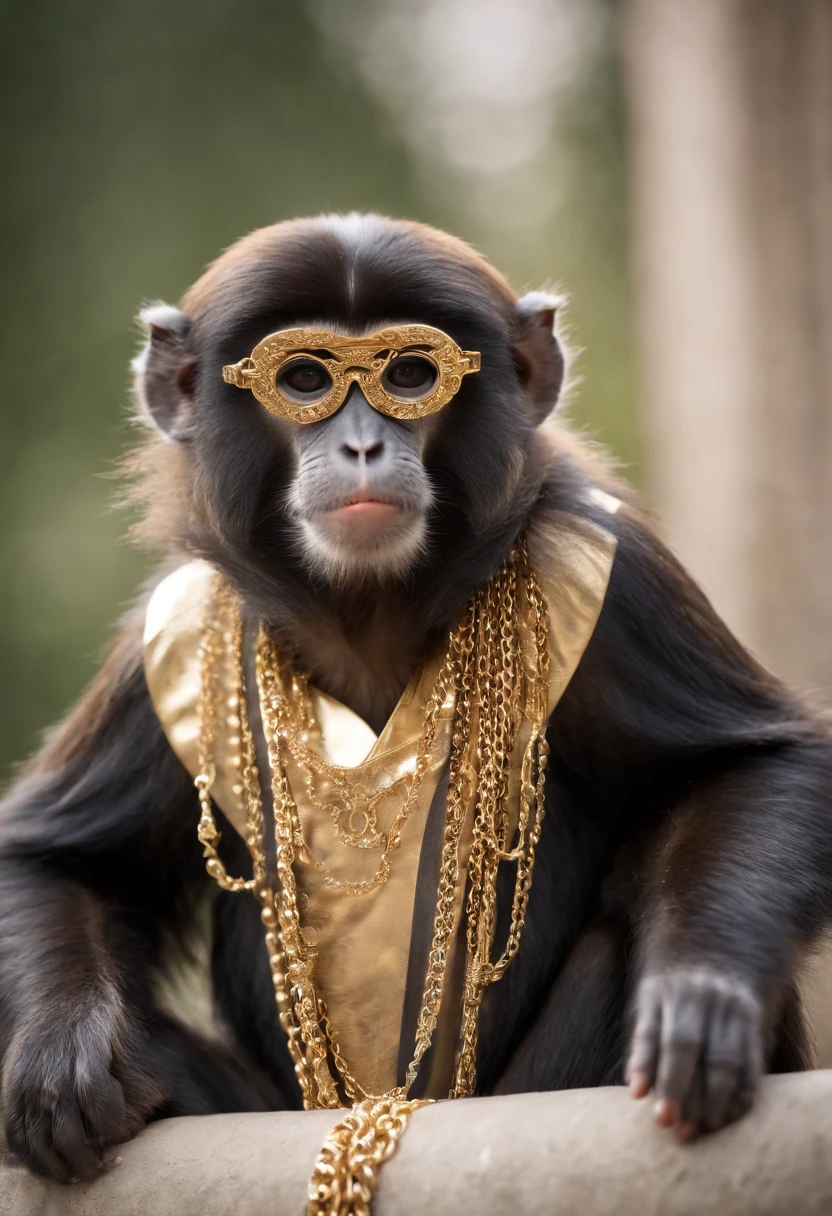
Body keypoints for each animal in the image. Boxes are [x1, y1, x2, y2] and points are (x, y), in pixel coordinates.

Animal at [0, 212, 830, 1184]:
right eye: (304, 380)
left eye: (408, 377)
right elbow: (55, 858)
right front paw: (62, 1046)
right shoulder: (163, 639)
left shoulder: (614, 576)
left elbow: (756, 764)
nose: (362, 443)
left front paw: (703, 990)